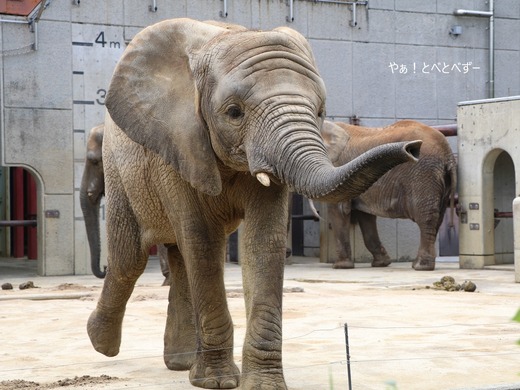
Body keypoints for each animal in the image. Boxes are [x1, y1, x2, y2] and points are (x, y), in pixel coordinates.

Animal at [84, 19, 418, 390]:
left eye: (320, 112)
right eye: (234, 112)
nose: (413, 148)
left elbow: (263, 243)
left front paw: (262, 385)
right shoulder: (179, 143)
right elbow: (203, 242)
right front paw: (217, 382)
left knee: (178, 258)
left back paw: (180, 364)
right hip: (119, 168)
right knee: (130, 258)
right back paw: (101, 342)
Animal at [320, 119, 456, 272]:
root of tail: (448, 155)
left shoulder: (338, 166)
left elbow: (338, 211)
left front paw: (340, 266)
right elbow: (365, 216)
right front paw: (382, 264)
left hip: (423, 173)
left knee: (426, 218)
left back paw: (421, 267)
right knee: (438, 217)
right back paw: (417, 264)